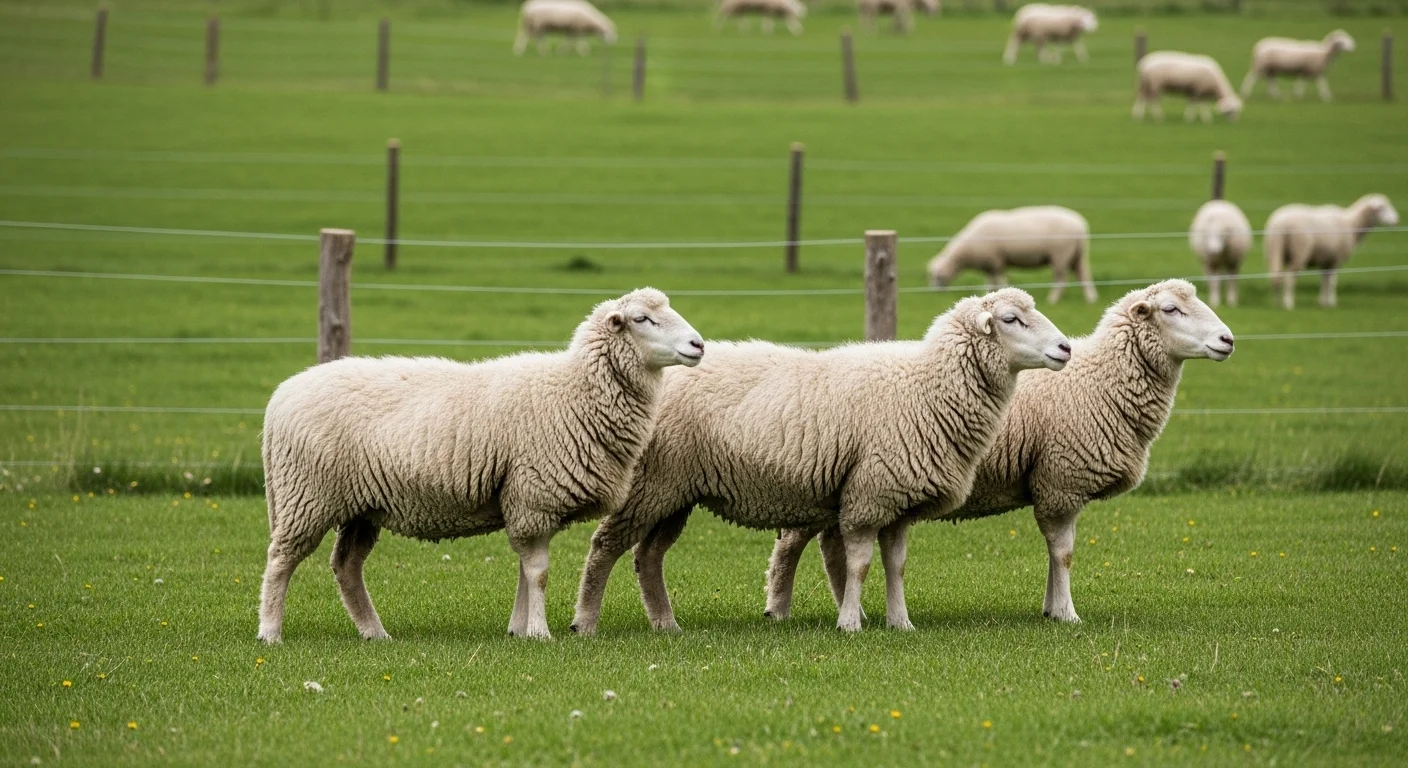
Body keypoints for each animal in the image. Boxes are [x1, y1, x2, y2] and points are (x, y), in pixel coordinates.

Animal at [255, 288, 704, 644]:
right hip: (306, 495)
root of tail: (281, 395)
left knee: (347, 566)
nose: (698, 345)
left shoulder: (523, 501)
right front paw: (539, 633)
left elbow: (525, 570)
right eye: (642, 319)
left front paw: (518, 630)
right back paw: (270, 632)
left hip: (360, 507)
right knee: (281, 560)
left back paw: (374, 633)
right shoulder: (533, 496)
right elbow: (538, 572)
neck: (574, 390)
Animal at [570, 289, 1073, 635]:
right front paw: (850, 624)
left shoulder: (897, 500)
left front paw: (900, 622)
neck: (925, 387)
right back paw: (585, 622)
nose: (1066, 348)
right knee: (605, 546)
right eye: (1010, 319)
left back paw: (666, 624)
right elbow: (859, 564)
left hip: (675, 492)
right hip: (650, 484)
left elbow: (895, 565)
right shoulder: (870, 494)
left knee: (648, 555)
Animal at [764, 280, 1235, 625]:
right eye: (1171, 309)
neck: (1100, 379)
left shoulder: (1052, 483)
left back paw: (846, 608)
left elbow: (1055, 553)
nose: (1228, 339)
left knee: (828, 544)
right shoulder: (1061, 480)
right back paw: (780, 609)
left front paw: (1050, 608)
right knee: (791, 543)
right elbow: (1063, 552)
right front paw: (1066, 614)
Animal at [927, 206, 1096, 304]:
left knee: (1061, 278)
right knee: (1084, 274)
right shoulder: (989, 265)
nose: (935, 292)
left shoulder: (996, 261)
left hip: (1061, 254)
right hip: (1077, 254)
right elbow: (990, 282)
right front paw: (988, 295)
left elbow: (999, 279)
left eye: (938, 276)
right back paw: (1091, 298)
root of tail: (1080, 224)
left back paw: (1053, 299)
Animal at [1264, 194, 1399, 310]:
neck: (1352, 224)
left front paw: (1322, 302)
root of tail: (1280, 223)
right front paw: (1331, 303)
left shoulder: (1326, 260)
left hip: (1275, 250)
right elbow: (1332, 281)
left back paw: (1276, 303)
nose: (1396, 221)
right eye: (1382, 207)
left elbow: (1324, 280)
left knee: (1276, 275)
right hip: (1299, 251)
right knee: (1290, 277)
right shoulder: (1336, 259)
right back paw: (1289, 304)